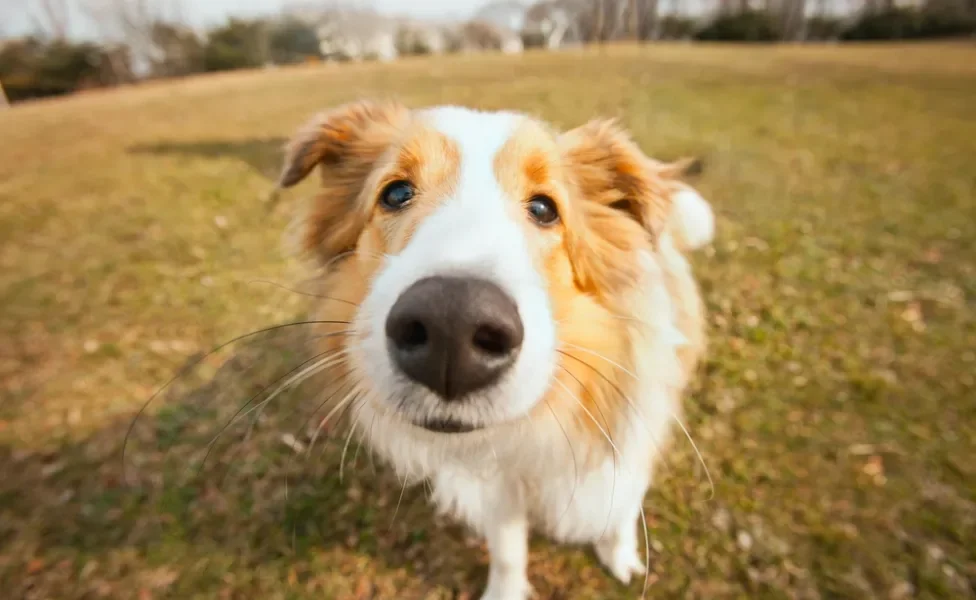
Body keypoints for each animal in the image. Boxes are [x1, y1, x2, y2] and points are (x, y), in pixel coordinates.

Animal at [274, 101, 716, 596]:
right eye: (396, 193)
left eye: (544, 208)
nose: (452, 325)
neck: (535, 425)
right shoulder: (498, 486)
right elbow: (507, 550)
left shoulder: (629, 443)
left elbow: (618, 512)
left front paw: (619, 556)